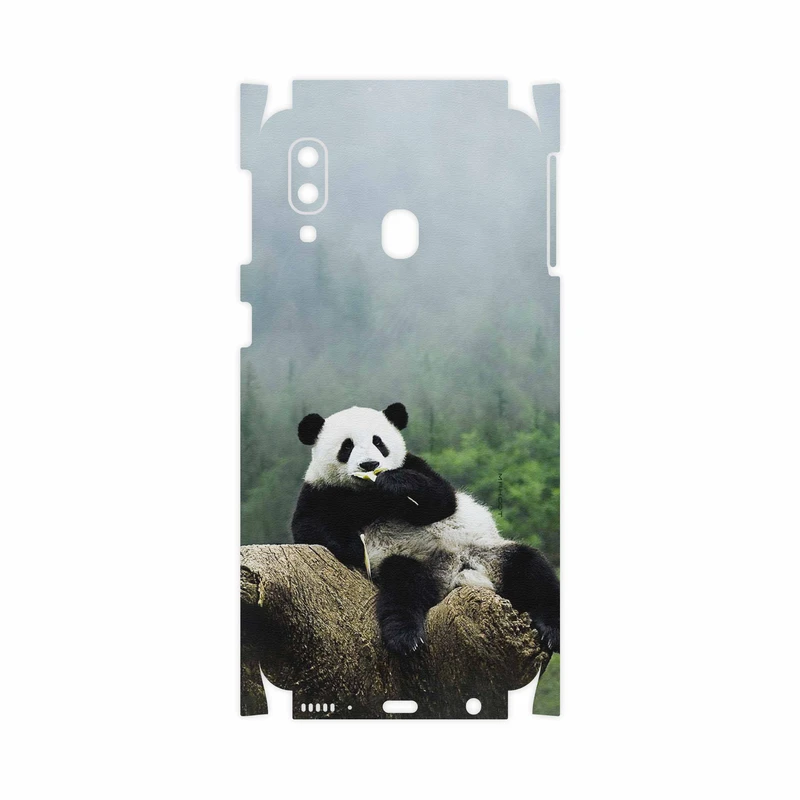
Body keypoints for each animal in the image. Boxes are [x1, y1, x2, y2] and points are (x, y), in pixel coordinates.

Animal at [291, 402, 560, 656]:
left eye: (378, 442)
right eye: (347, 446)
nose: (370, 464)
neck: (368, 493)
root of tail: (458, 574)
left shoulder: (415, 465)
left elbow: (442, 500)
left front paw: (394, 483)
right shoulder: (321, 491)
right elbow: (309, 527)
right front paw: (356, 547)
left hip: (489, 553)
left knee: (532, 569)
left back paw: (552, 631)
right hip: (413, 561)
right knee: (403, 587)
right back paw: (406, 637)